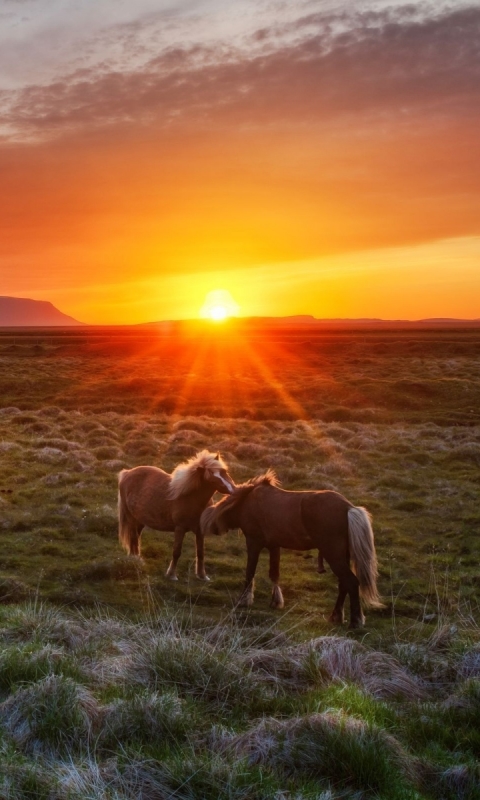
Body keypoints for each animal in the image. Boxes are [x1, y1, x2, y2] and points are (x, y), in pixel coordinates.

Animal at [118, 450, 234, 580]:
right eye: (212, 480)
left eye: (224, 472)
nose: (233, 490)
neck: (191, 497)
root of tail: (127, 473)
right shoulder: (180, 528)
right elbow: (176, 551)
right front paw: (171, 575)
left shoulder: (200, 531)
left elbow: (200, 552)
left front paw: (202, 575)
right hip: (131, 518)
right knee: (133, 537)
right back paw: (135, 561)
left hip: (139, 520)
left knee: (135, 538)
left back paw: (137, 559)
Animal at [201, 472, 384, 628]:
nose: (214, 529)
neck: (247, 502)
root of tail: (348, 508)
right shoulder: (274, 546)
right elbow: (274, 574)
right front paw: (276, 601)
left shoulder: (253, 542)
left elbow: (250, 572)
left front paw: (244, 600)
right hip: (342, 556)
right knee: (344, 583)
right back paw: (336, 616)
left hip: (333, 555)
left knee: (351, 582)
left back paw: (355, 621)